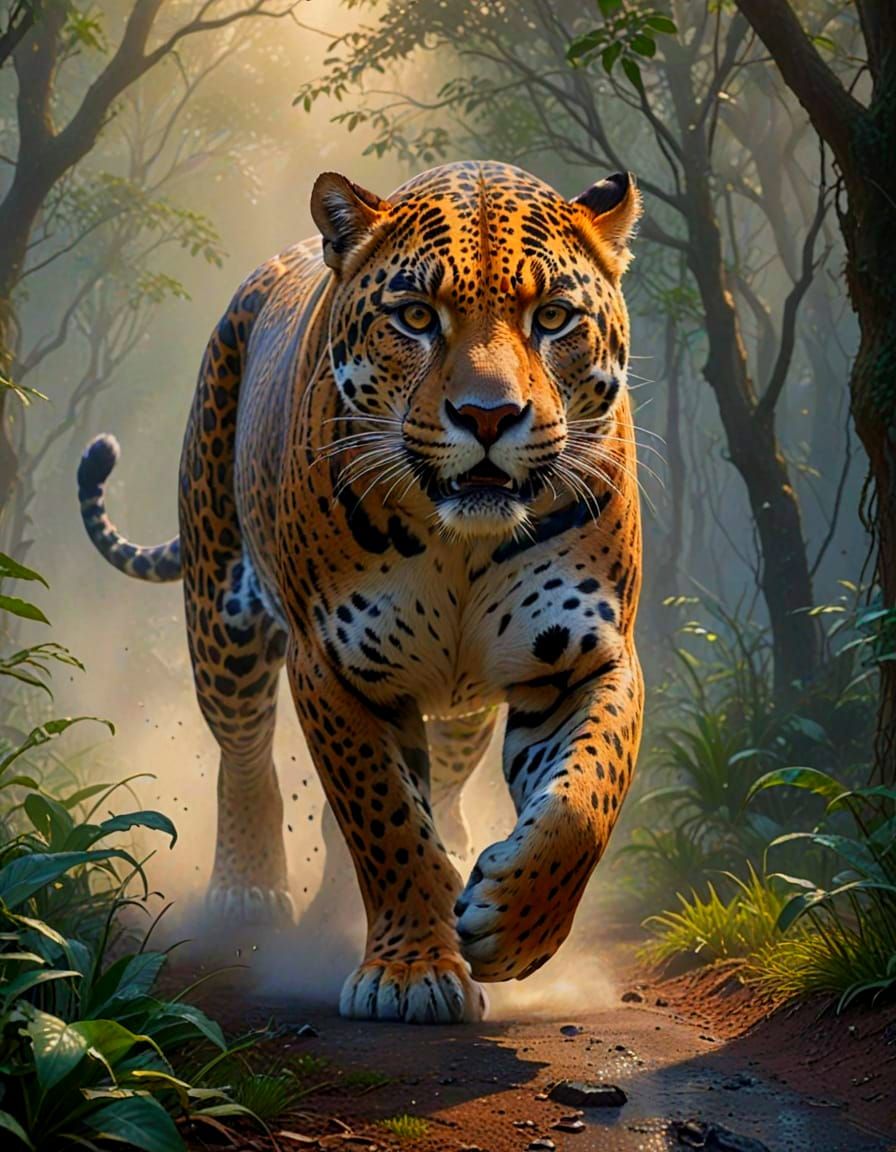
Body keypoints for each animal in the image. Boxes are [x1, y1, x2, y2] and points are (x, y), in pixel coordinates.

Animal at [77, 160, 644, 1025]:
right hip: (221, 615)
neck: (460, 544)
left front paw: (512, 923)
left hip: (462, 712)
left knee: (441, 778)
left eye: (552, 317)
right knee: (245, 754)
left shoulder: (584, 657)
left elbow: (584, 799)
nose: (488, 417)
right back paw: (249, 894)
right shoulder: (333, 668)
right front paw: (410, 973)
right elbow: (384, 820)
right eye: (415, 317)